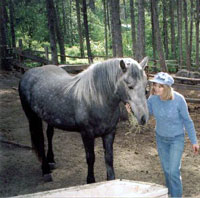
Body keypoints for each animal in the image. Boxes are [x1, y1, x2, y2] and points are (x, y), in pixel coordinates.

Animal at [18, 56, 149, 183]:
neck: (96, 98)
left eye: (145, 87)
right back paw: (45, 170)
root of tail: (28, 73)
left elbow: (109, 158)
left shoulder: (109, 133)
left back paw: (51, 161)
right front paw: (90, 180)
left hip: (50, 118)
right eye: (129, 86)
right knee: (40, 140)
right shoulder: (87, 134)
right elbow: (90, 158)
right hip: (32, 117)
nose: (143, 117)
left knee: (49, 134)